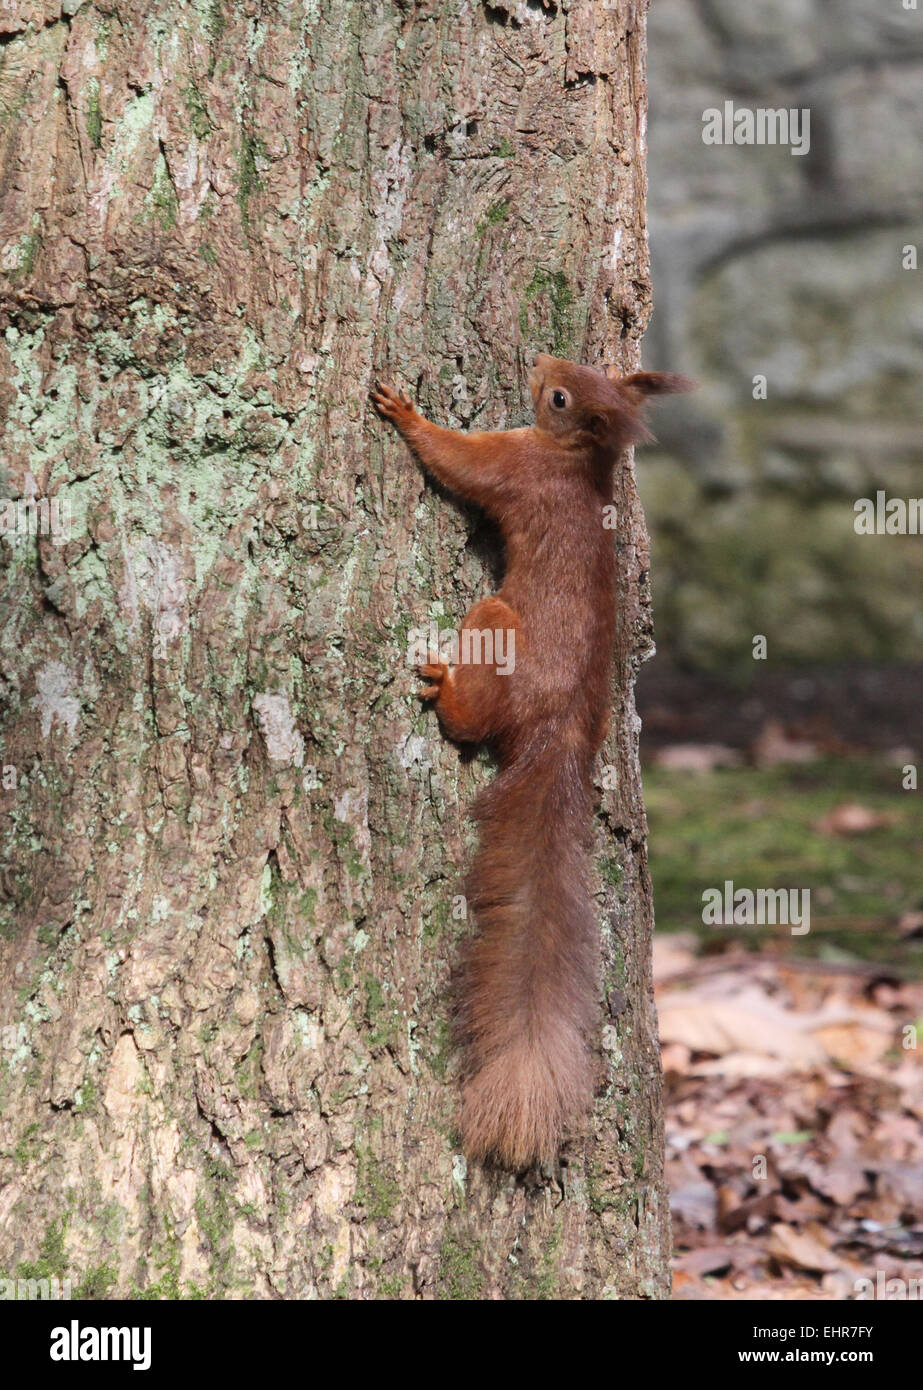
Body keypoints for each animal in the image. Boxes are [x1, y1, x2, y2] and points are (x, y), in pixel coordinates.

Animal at [372, 353, 689, 1167]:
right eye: (580, 371)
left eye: (560, 398)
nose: (541, 360)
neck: (580, 466)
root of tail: (560, 730)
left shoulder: (514, 467)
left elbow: (458, 461)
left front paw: (405, 412)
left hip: (494, 627)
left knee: (471, 716)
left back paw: (443, 691)